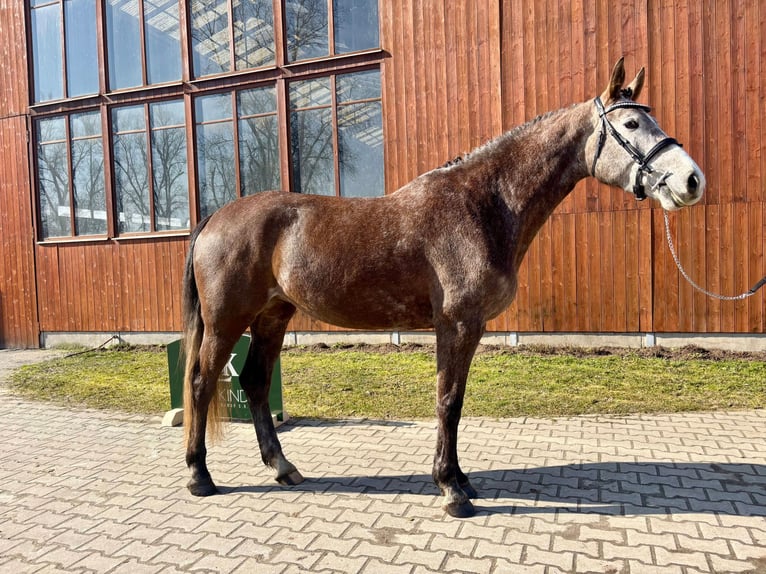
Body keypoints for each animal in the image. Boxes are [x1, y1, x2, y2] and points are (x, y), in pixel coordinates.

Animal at [181, 58, 705, 518]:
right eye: (632, 124)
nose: (691, 180)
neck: (482, 205)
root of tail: (216, 216)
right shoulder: (456, 323)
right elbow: (448, 401)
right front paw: (451, 490)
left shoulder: (468, 327)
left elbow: (456, 400)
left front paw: (461, 478)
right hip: (227, 320)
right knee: (203, 383)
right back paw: (199, 477)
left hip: (273, 315)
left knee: (254, 382)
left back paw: (283, 468)